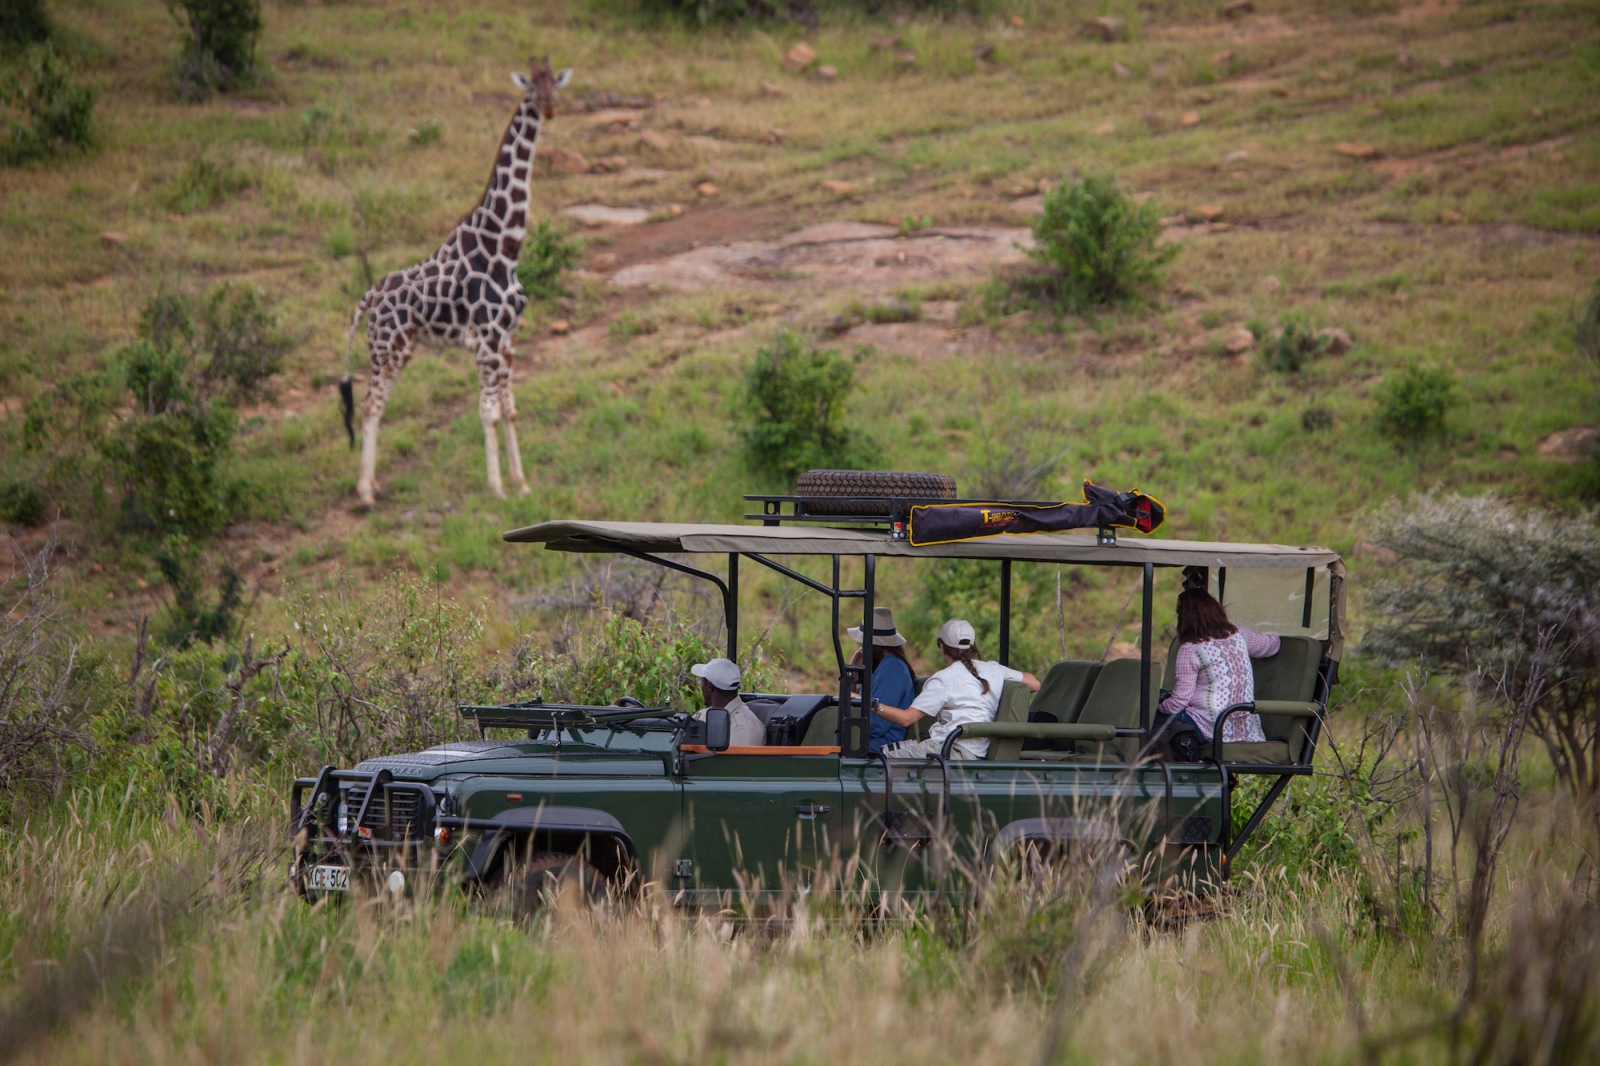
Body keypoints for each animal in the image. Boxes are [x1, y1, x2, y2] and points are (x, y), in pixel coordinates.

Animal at [339, 56, 572, 507]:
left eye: (555, 83)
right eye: (531, 88)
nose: (551, 108)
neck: (504, 246)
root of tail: (368, 297)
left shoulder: (507, 339)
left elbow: (509, 407)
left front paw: (521, 483)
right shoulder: (485, 341)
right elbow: (488, 411)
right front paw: (497, 489)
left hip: (393, 349)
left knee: (376, 403)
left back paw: (372, 485)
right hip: (389, 348)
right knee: (371, 405)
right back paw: (365, 493)